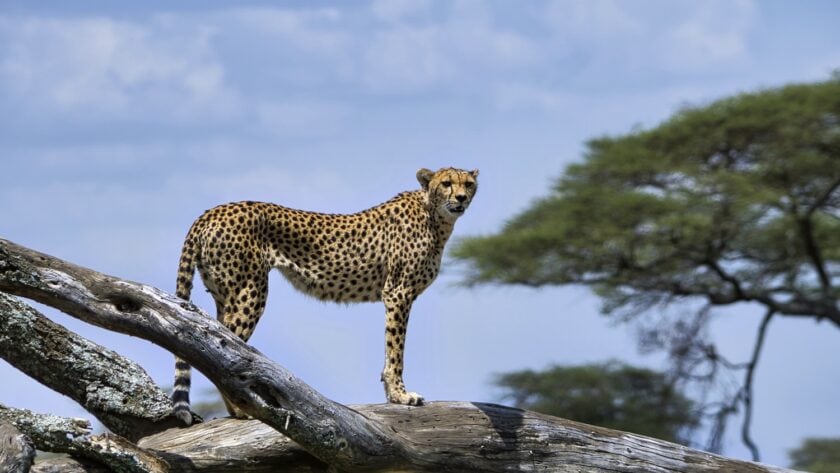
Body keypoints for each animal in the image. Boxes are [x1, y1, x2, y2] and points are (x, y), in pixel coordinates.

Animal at [171, 167, 479, 425]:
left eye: (469, 184)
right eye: (447, 183)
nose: (462, 198)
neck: (435, 216)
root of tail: (212, 212)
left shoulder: (397, 295)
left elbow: (390, 350)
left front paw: (392, 394)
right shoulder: (398, 293)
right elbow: (396, 349)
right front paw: (401, 396)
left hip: (225, 295)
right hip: (250, 291)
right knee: (222, 350)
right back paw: (241, 410)